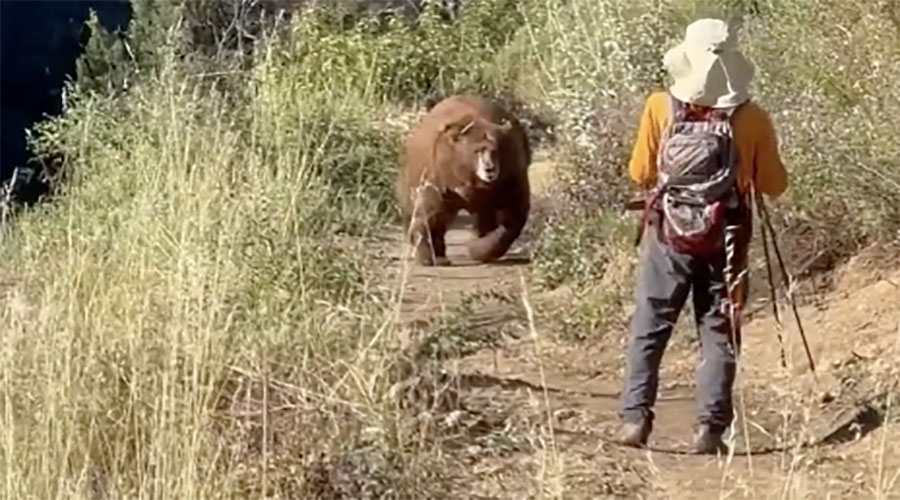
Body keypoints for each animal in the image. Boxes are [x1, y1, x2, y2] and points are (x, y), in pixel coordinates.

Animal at [396, 95, 531, 266]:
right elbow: (428, 211)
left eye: (496, 150)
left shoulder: (510, 176)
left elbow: (513, 215)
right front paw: (426, 254)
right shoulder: (437, 175)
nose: (489, 168)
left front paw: (478, 248)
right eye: (477, 150)